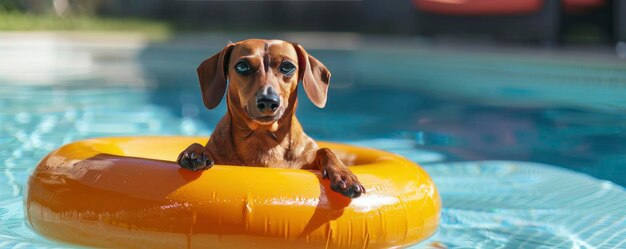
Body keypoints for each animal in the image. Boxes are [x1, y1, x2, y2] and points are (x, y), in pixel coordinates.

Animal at [176, 39, 364, 198]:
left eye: (287, 66)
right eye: (242, 66)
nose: (268, 101)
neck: (263, 140)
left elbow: (325, 150)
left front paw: (343, 175)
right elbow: (197, 145)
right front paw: (194, 152)